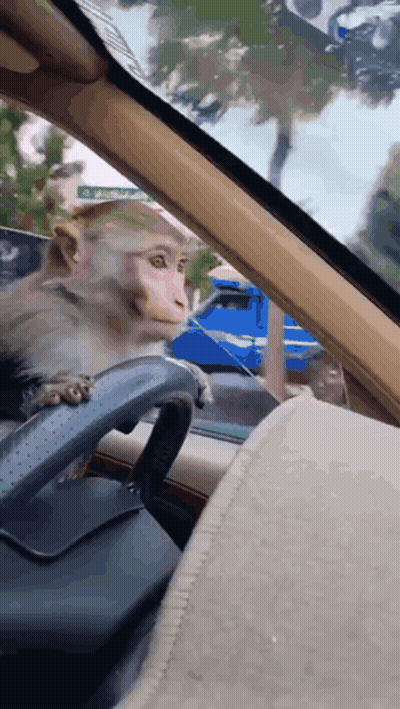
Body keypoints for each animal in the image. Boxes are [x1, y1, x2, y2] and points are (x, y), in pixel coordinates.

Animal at [0, 200, 213, 446]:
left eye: (180, 267)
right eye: (158, 262)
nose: (181, 301)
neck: (103, 325)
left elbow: (128, 421)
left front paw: (192, 370)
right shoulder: (46, 327)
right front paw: (42, 395)